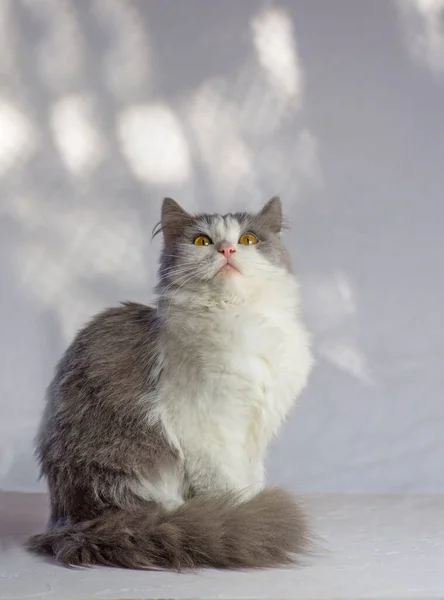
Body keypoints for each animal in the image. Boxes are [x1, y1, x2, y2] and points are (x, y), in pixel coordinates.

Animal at [27, 196, 314, 568]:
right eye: (202, 241)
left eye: (248, 239)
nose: (226, 249)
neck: (239, 318)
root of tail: (74, 522)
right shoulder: (204, 427)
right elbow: (226, 483)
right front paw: (240, 512)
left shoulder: (255, 429)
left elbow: (250, 478)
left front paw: (251, 504)